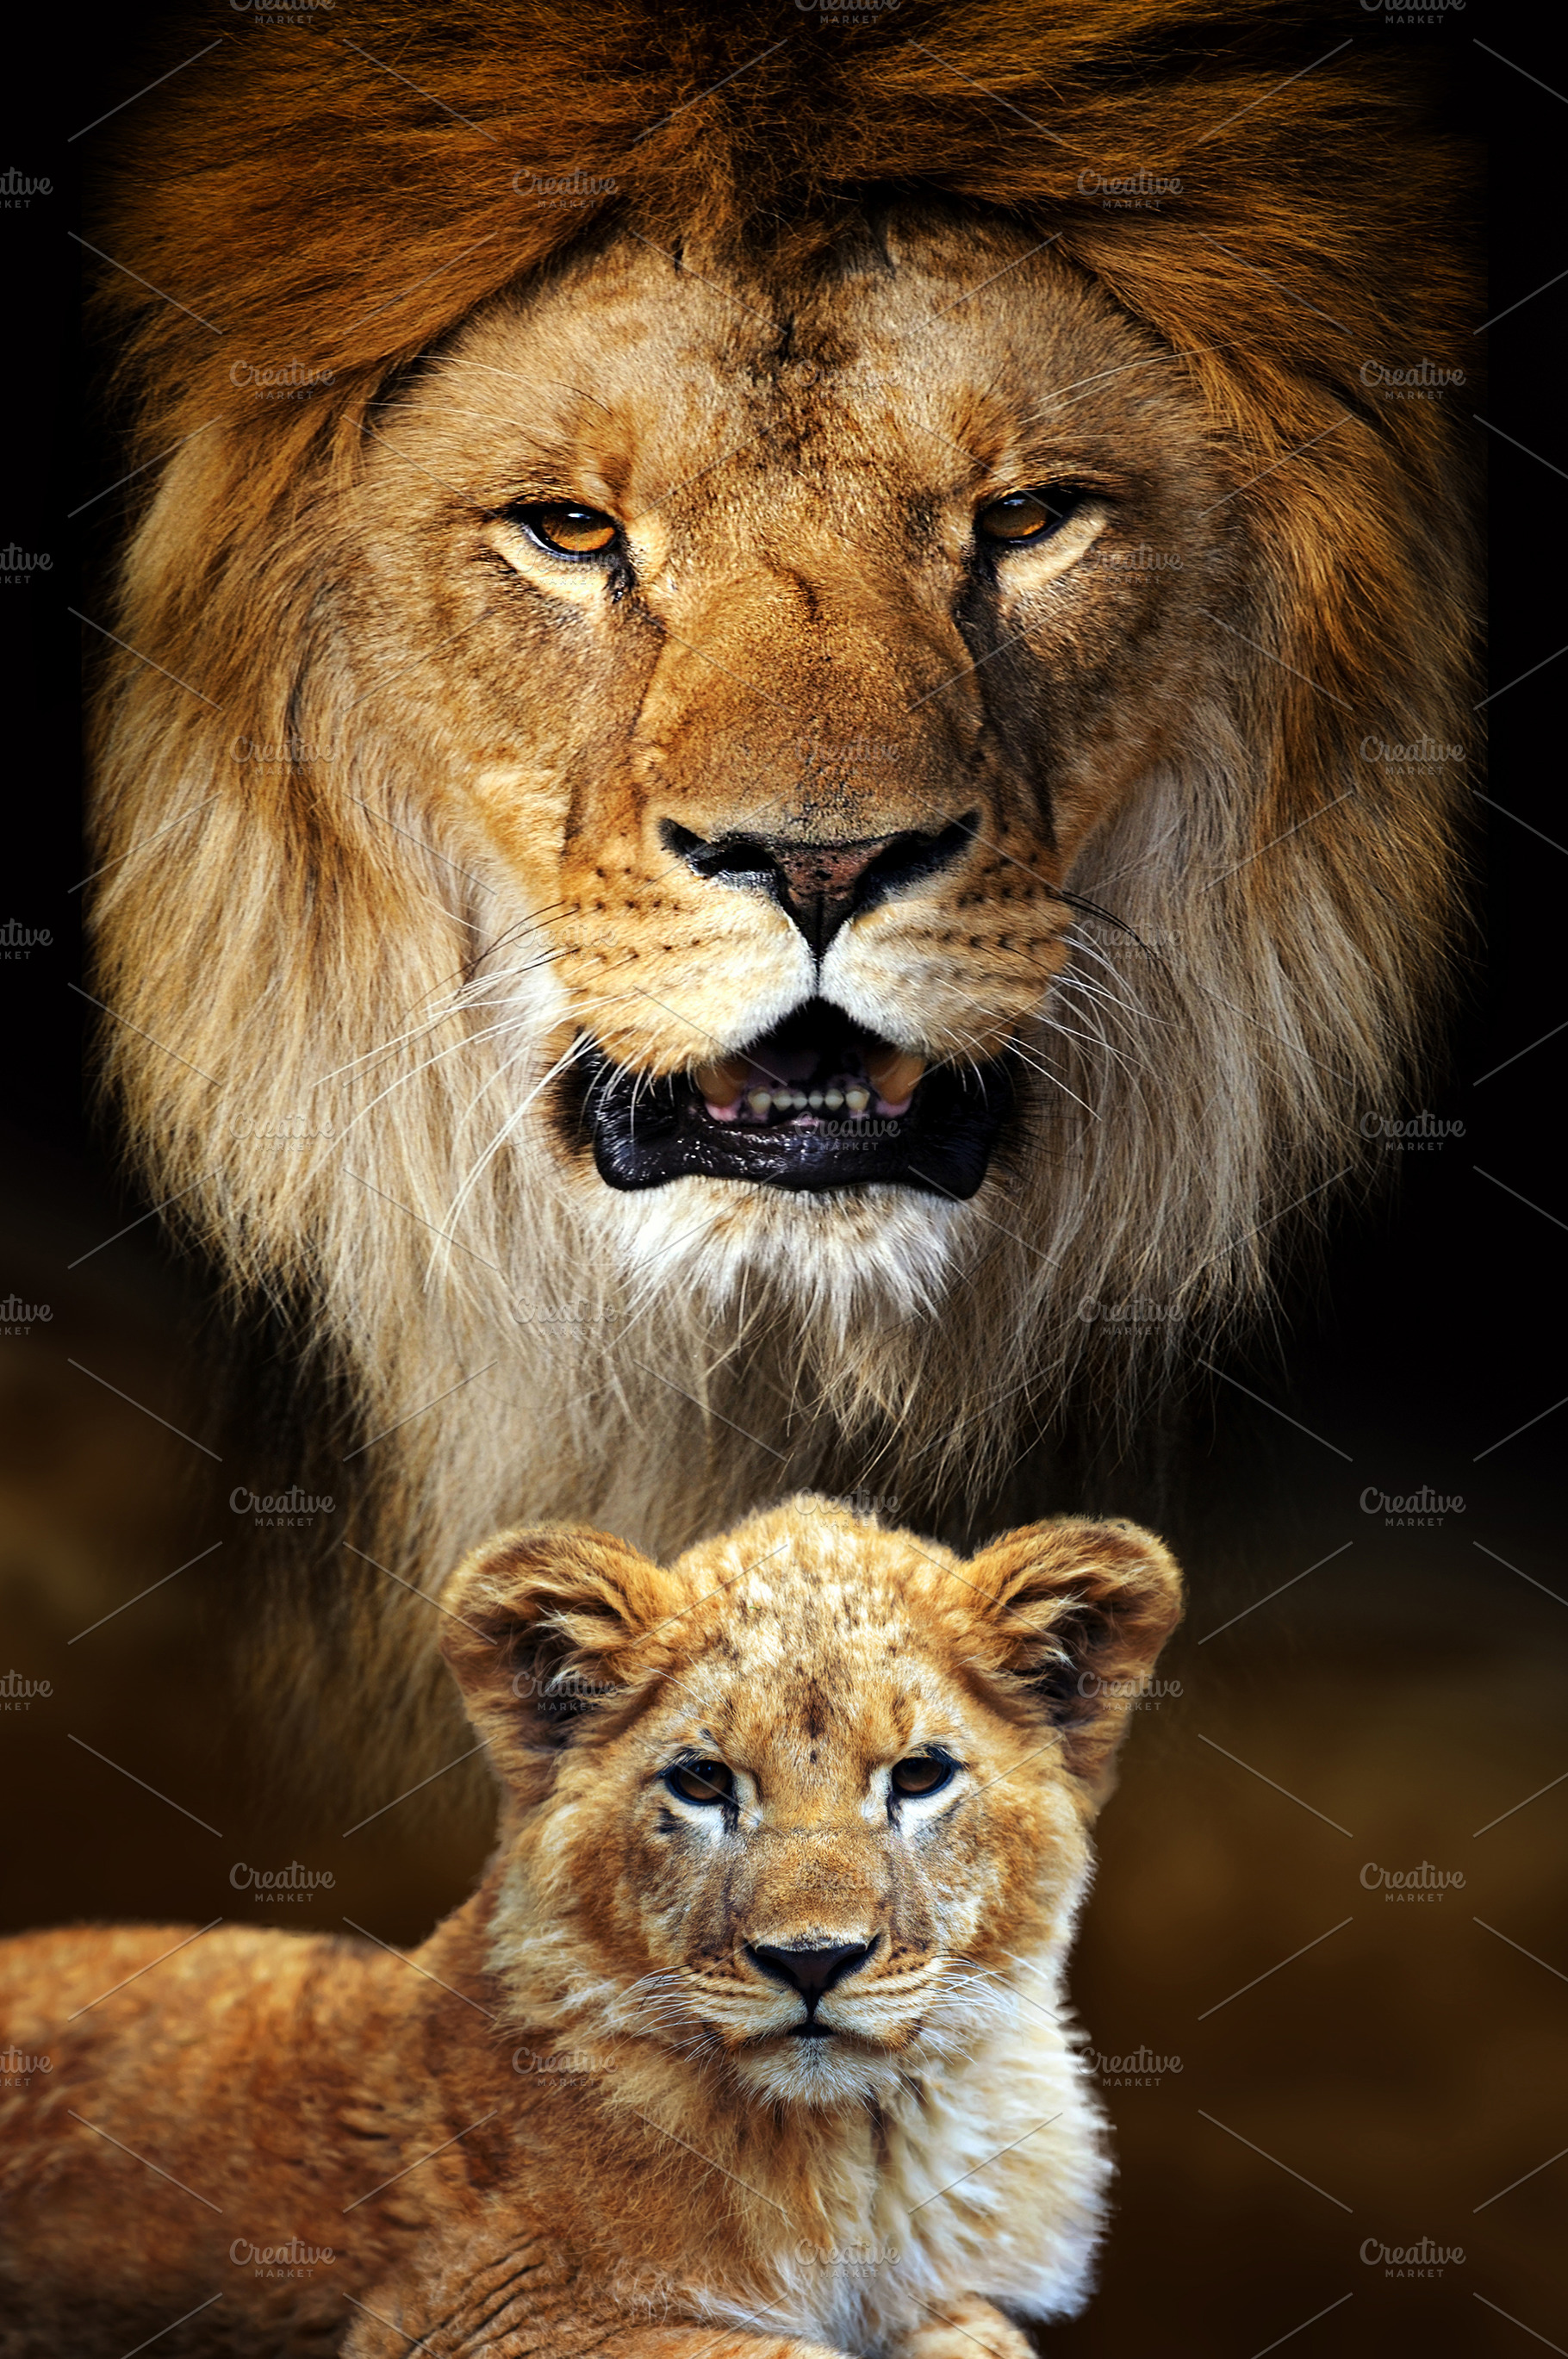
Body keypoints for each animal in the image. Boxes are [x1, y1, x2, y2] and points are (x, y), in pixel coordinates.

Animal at [0, 1498, 1182, 2357]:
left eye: (921, 1775)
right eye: (702, 1781)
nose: (813, 1961)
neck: (859, 2153)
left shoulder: (952, 2302)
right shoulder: (471, 2307)